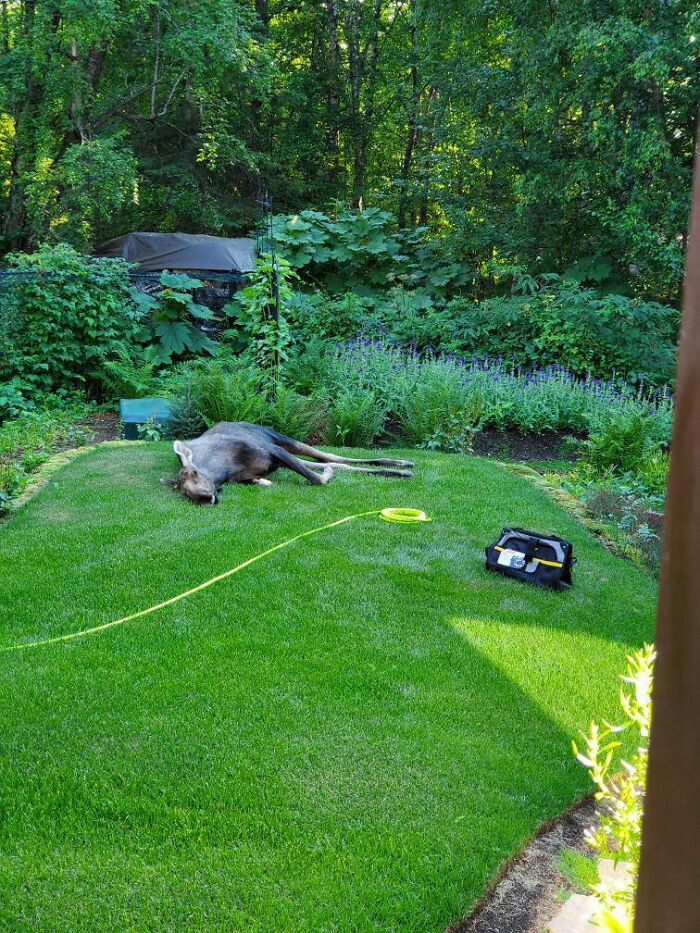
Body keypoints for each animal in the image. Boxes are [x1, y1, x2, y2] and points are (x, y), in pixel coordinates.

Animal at [163, 422, 414, 504]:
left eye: (194, 472)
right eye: (183, 491)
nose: (203, 497)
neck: (225, 470)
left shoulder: (273, 450)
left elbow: (317, 479)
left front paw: (327, 475)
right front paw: (264, 482)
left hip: (283, 439)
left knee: (332, 457)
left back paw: (403, 465)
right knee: (332, 462)